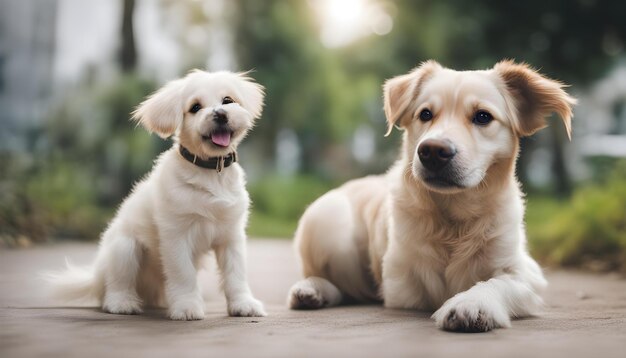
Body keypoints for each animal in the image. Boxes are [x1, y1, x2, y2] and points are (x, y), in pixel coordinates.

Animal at [45, 70, 266, 318]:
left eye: (227, 100)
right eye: (195, 107)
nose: (220, 114)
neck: (210, 174)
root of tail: (95, 277)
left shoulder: (231, 236)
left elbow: (236, 275)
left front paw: (243, 304)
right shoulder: (176, 236)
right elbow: (183, 274)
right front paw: (187, 306)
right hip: (124, 249)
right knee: (116, 285)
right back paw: (123, 303)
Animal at [288, 60, 576, 332]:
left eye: (483, 116)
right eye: (425, 114)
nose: (433, 151)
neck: (453, 222)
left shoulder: (526, 272)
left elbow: (495, 282)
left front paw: (471, 303)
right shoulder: (401, 282)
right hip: (329, 220)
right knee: (343, 286)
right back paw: (312, 290)